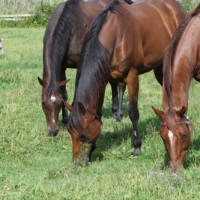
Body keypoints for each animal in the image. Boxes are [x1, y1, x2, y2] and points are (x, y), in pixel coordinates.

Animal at [38, 0, 131, 137]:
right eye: (43, 103)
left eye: (58, 103)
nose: (52, 131)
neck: (70, 25)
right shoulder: (61, 67)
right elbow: (64, 92)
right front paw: (65, 121)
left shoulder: (80, 63)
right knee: (113, 83)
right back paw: (114, 112)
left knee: (120, 86)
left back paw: (118, 115)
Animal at [65, 0, 188, 163]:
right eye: (69, 131)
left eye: (84, 134)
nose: (78, 162)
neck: (116, 36)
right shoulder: (103, 79)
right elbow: (98, 113)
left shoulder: (132, 77)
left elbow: (133, 113)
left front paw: (137, 147)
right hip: (160, 66)